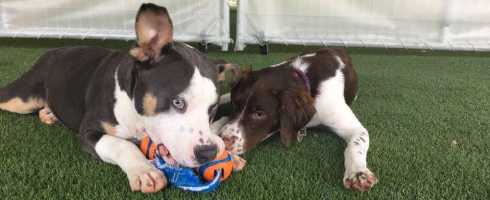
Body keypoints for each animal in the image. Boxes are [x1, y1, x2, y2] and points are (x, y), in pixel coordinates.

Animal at [0, 3, 224, 193]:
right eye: (178, 102)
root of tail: (50, 51)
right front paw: (144, 171)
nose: (208, 153)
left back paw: (49, 114)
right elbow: (121, 144)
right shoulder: (88, 132)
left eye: (212, 109)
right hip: (22, 98)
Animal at [220, 48, 378, 191]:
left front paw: (358, 173)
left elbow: (356, 144)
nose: (224, 141)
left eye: (259, 114)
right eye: (235, 104)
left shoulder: (353, 126)